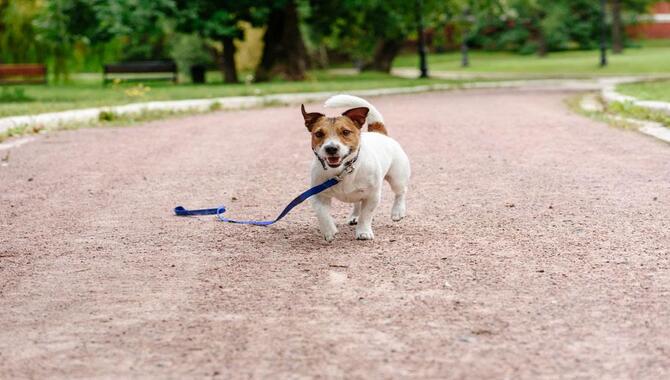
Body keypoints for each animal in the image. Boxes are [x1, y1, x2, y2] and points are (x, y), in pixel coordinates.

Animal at [304, 95, 410, 243]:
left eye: (345, 132)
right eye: (319, 134)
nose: (331, 148)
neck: (343, 171)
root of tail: (379, 132)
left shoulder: (372, 196)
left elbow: (366, 215)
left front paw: (363, 232)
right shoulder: (318, 195)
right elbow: (322, 214)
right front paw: (329, 231)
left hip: (397, 178)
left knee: (401, 192)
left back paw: (397, 211)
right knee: (357, 204)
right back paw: (354, 216)